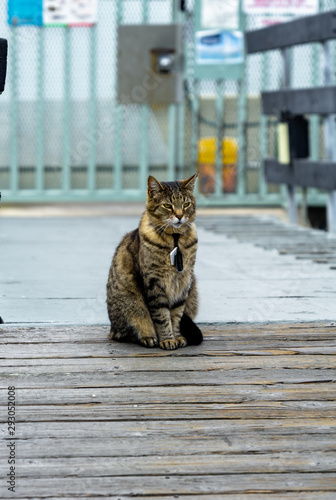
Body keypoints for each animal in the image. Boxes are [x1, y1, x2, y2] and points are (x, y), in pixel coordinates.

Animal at [106, 174, 203, 350]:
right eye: (167, 205)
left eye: (186, 204)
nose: (180, 216)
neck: (175, 240)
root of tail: (111, 328)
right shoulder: (154, 282)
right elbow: (162, 316)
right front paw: (167, 339)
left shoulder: (183, 283)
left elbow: (176, 315)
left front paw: (177, 337)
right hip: (130, 304)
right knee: (128, 330)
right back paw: (148, 336)